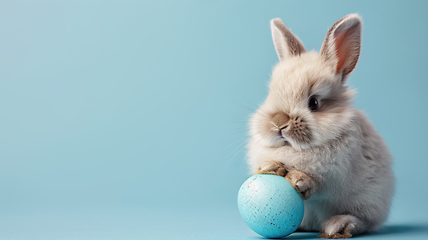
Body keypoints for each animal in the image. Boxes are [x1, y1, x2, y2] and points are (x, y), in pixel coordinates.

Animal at [247, 14, 394, 238]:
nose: (279, 124)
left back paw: (339, 225)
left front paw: (299, 180)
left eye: (314, 103)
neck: (295, 149)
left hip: (369, 202)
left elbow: (318, 184)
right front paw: (270, 167)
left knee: (365, 222)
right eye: (271, 94)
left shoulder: (334, 176)